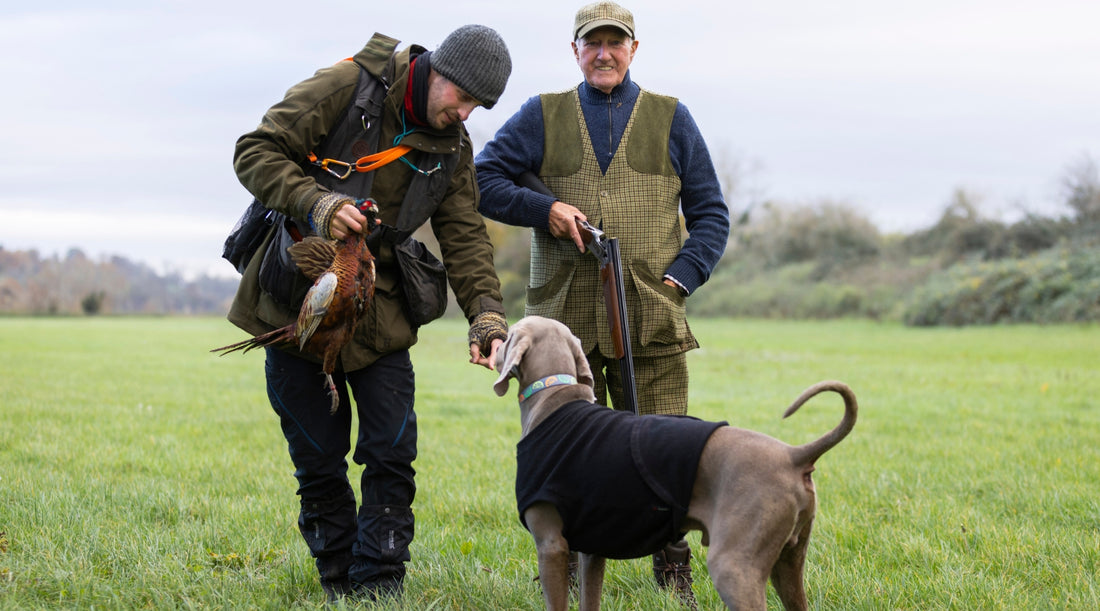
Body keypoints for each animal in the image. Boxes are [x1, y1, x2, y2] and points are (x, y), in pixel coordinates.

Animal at [492, 317, 858, 607]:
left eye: (510, 335)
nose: (493, 345)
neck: (554, 398)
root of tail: (793, 456)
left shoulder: (551, 545)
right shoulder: (592, 550)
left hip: (734, 565)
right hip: (789, 561)